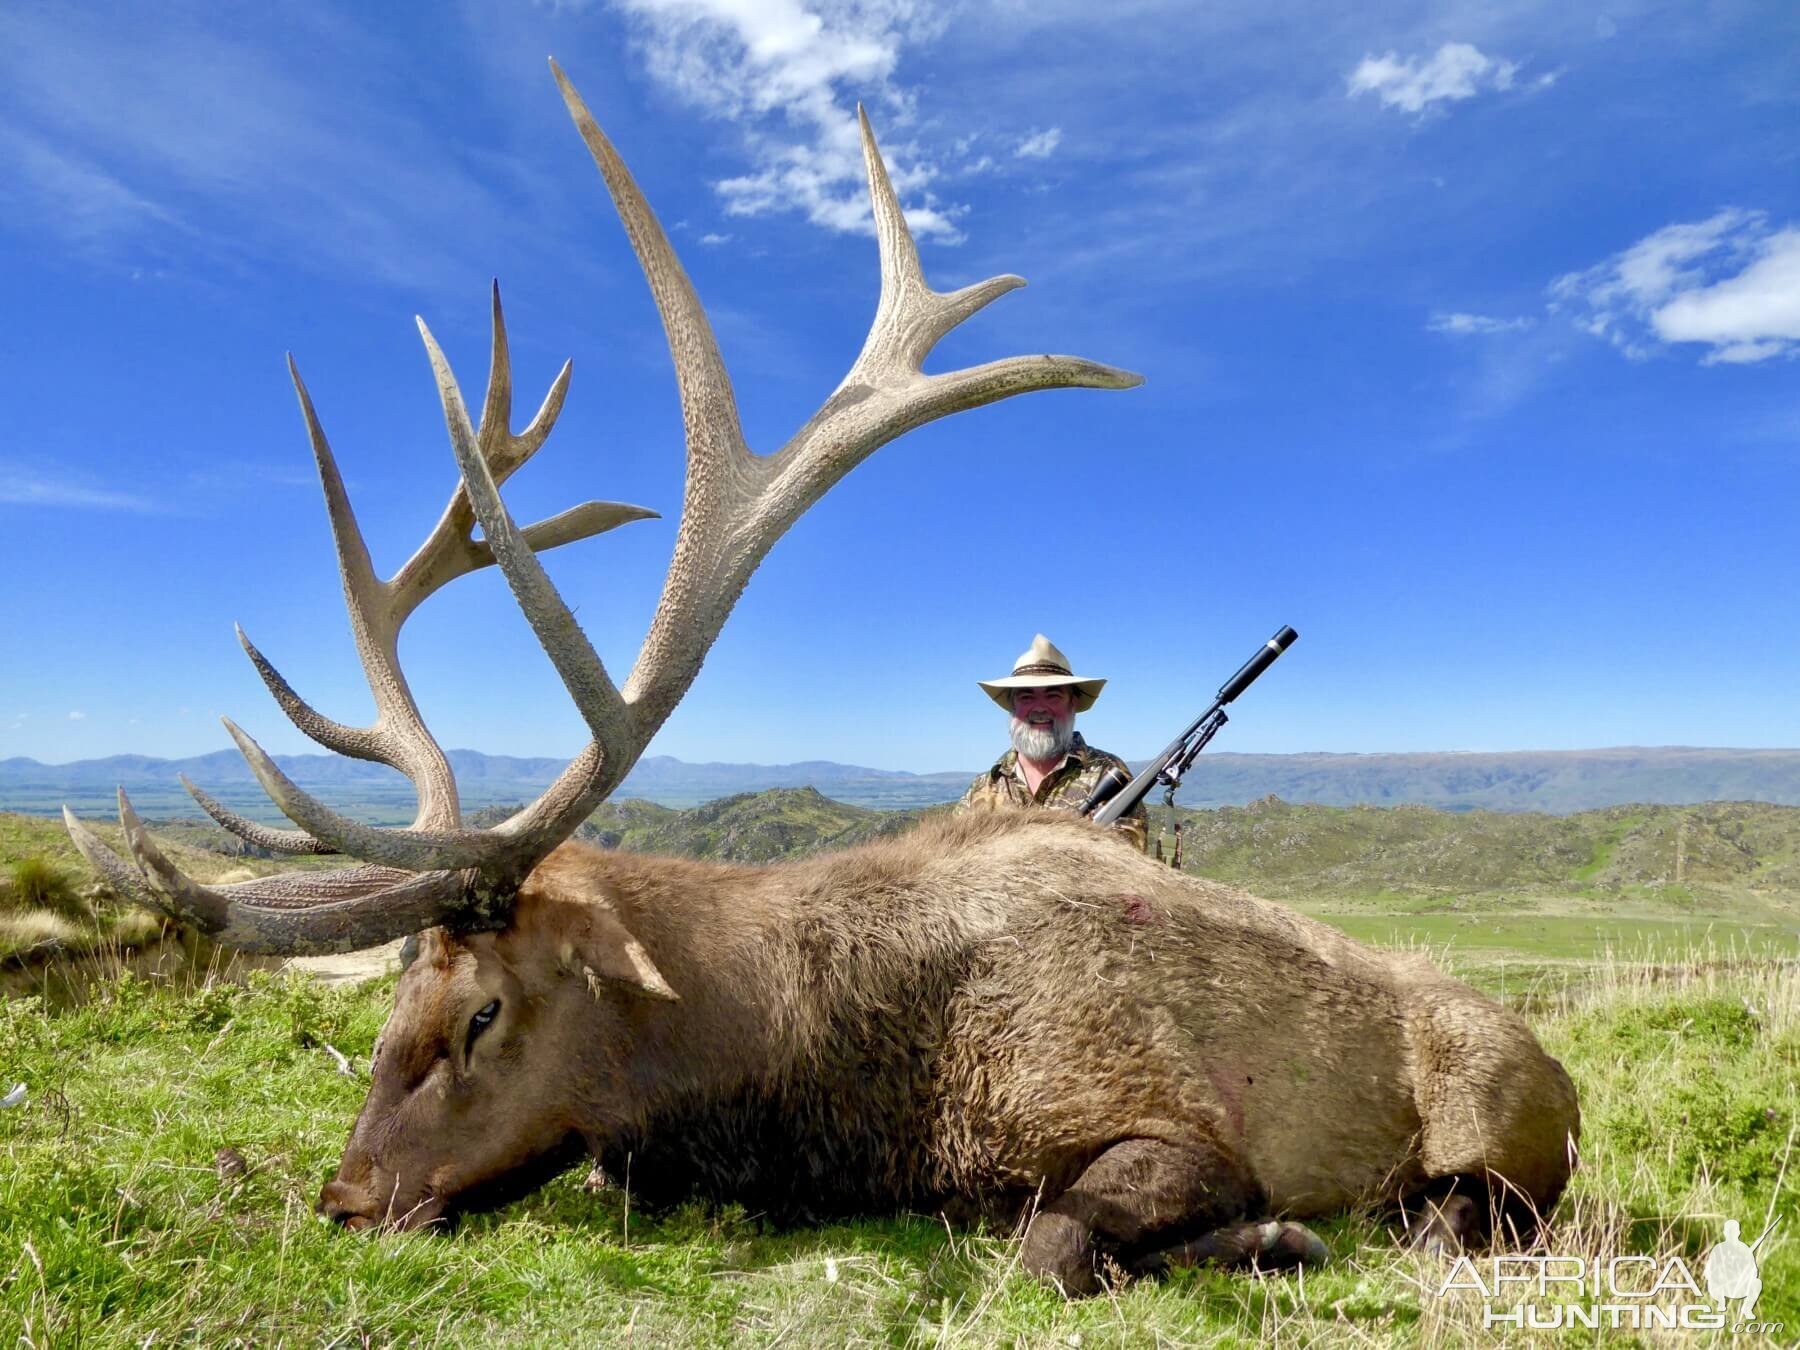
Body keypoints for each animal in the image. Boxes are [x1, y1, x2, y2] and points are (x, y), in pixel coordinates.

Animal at [63, 63, 1576, 1303]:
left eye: (481, 1009)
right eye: (389, 1000)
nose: (347, 1195)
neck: (823, 1077)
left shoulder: (1169, 1109)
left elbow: (1052, 1241)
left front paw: (1275, 1233)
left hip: (1509, 1117)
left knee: (1475, 1212)